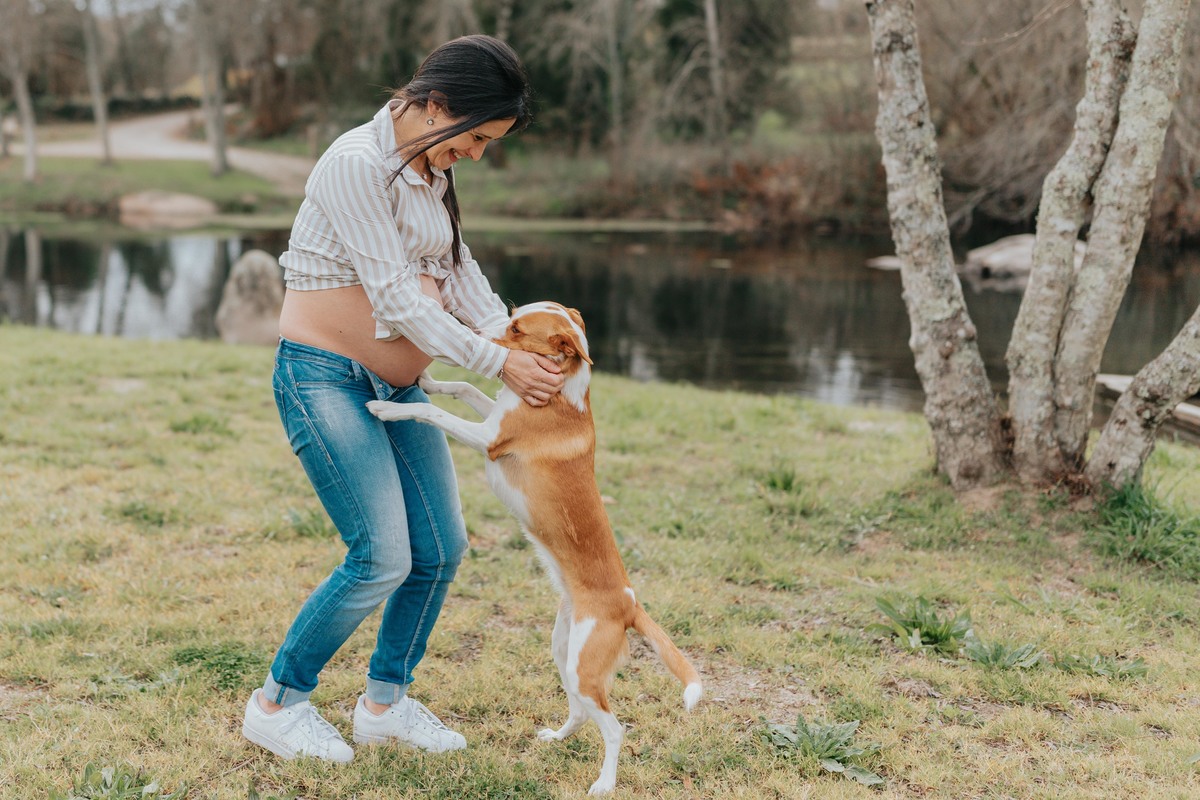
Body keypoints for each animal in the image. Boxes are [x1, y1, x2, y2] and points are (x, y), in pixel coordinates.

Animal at [367, 301, 702, 795]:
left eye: (516, 329)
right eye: (510, 313)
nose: (467, 327)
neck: (563, 391)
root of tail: (629, 605)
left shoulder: (488, 438)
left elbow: (437, 416)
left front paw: (387, 408)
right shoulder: (493, 414)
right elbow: (465, 386)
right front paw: (428, 380)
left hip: (584, 667)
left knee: (614, 728)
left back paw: (604, 783)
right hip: (564, 652)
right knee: (581, 712)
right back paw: (557, 738)